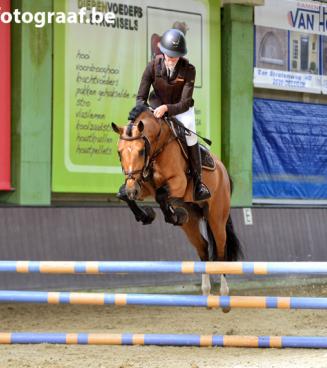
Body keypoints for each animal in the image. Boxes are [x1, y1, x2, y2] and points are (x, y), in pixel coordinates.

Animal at [111, 105, 242, 312]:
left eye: (141, 151)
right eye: (119, 152)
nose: (133, 190)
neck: (157, 147)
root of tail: (223, 170)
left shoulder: (178, 182)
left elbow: (160, 195)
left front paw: (172, 215)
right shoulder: (142, 185)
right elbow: (123, 194)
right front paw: (147, 215)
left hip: (216, 217)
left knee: (221, 252)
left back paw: (224, 297)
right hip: (192, 222)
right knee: (203, 248)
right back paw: (206, 294)